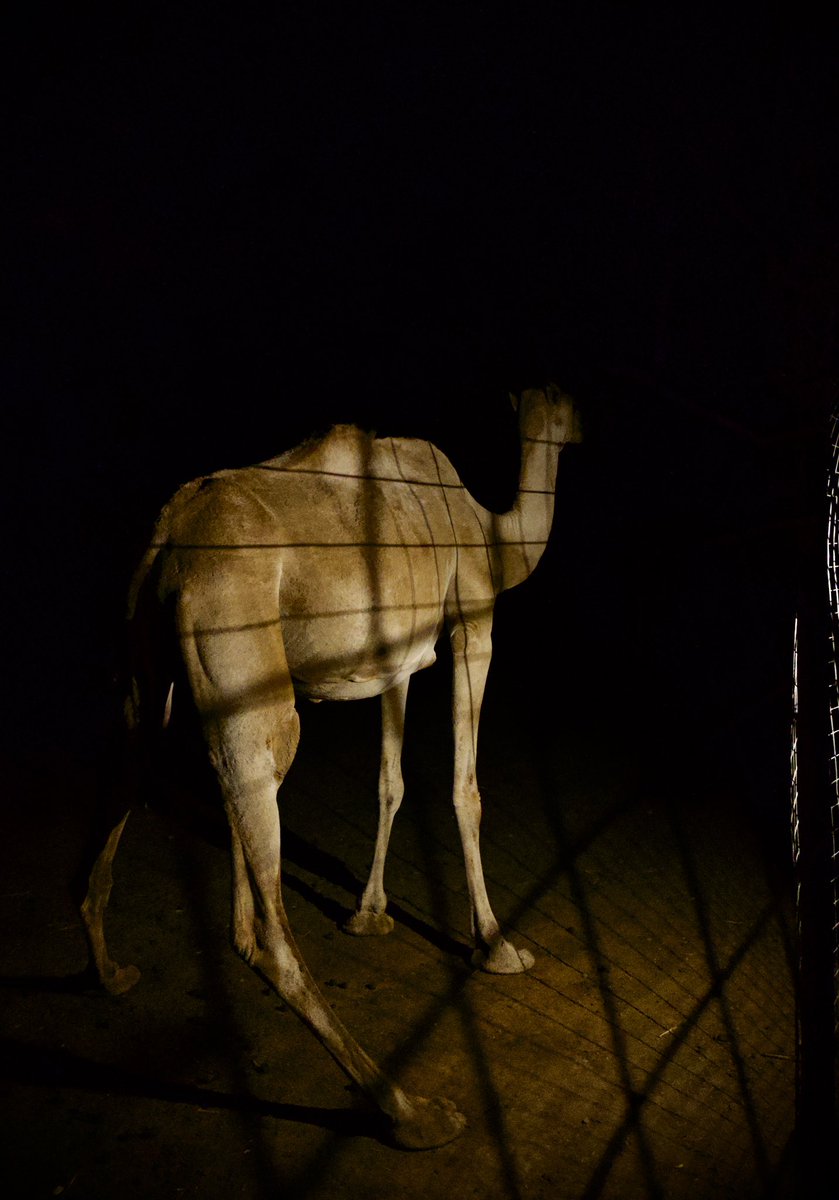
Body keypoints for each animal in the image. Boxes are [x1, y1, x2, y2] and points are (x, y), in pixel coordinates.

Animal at [79, 382, 581, 1150]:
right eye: (569, 403)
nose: (585, 427)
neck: (492, 534)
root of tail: (166, 542)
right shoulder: (473, 620)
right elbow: (464, 788)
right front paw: (496, 945)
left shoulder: (395, 657)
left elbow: (390, 781)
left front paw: (368, 913)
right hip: (249, 678)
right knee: (262, 920)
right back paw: (411, 1110)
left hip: (151, 667)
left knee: (134, 763)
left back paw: (109, 970)